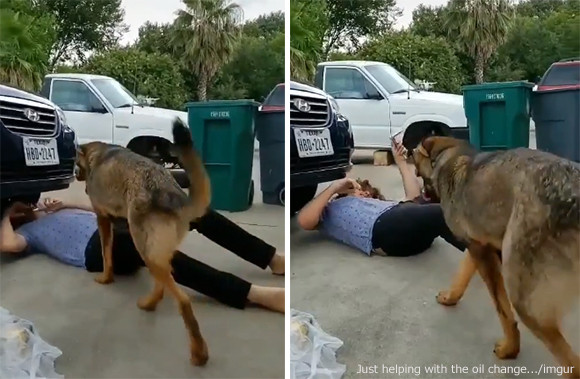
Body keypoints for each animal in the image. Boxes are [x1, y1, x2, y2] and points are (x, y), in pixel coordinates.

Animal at [74, 118, 211, 366]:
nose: (77, 176)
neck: (99, 153)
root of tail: (175, 197)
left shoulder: (102, 219)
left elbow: (106, 253)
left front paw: (106, 278)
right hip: (155, 251)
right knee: (162, 285)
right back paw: (150, 304)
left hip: (143, 245)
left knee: (182, 300)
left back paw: (198, 352)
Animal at [412, 136, 580, 378]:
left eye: (413, 155)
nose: (407, 153)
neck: (449, 157)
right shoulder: (479, 245)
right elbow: (463, 273)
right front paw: (451, 297)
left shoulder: (482, 253)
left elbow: (503, 310)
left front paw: (510, 349)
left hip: (524, 298)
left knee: (572, 364)